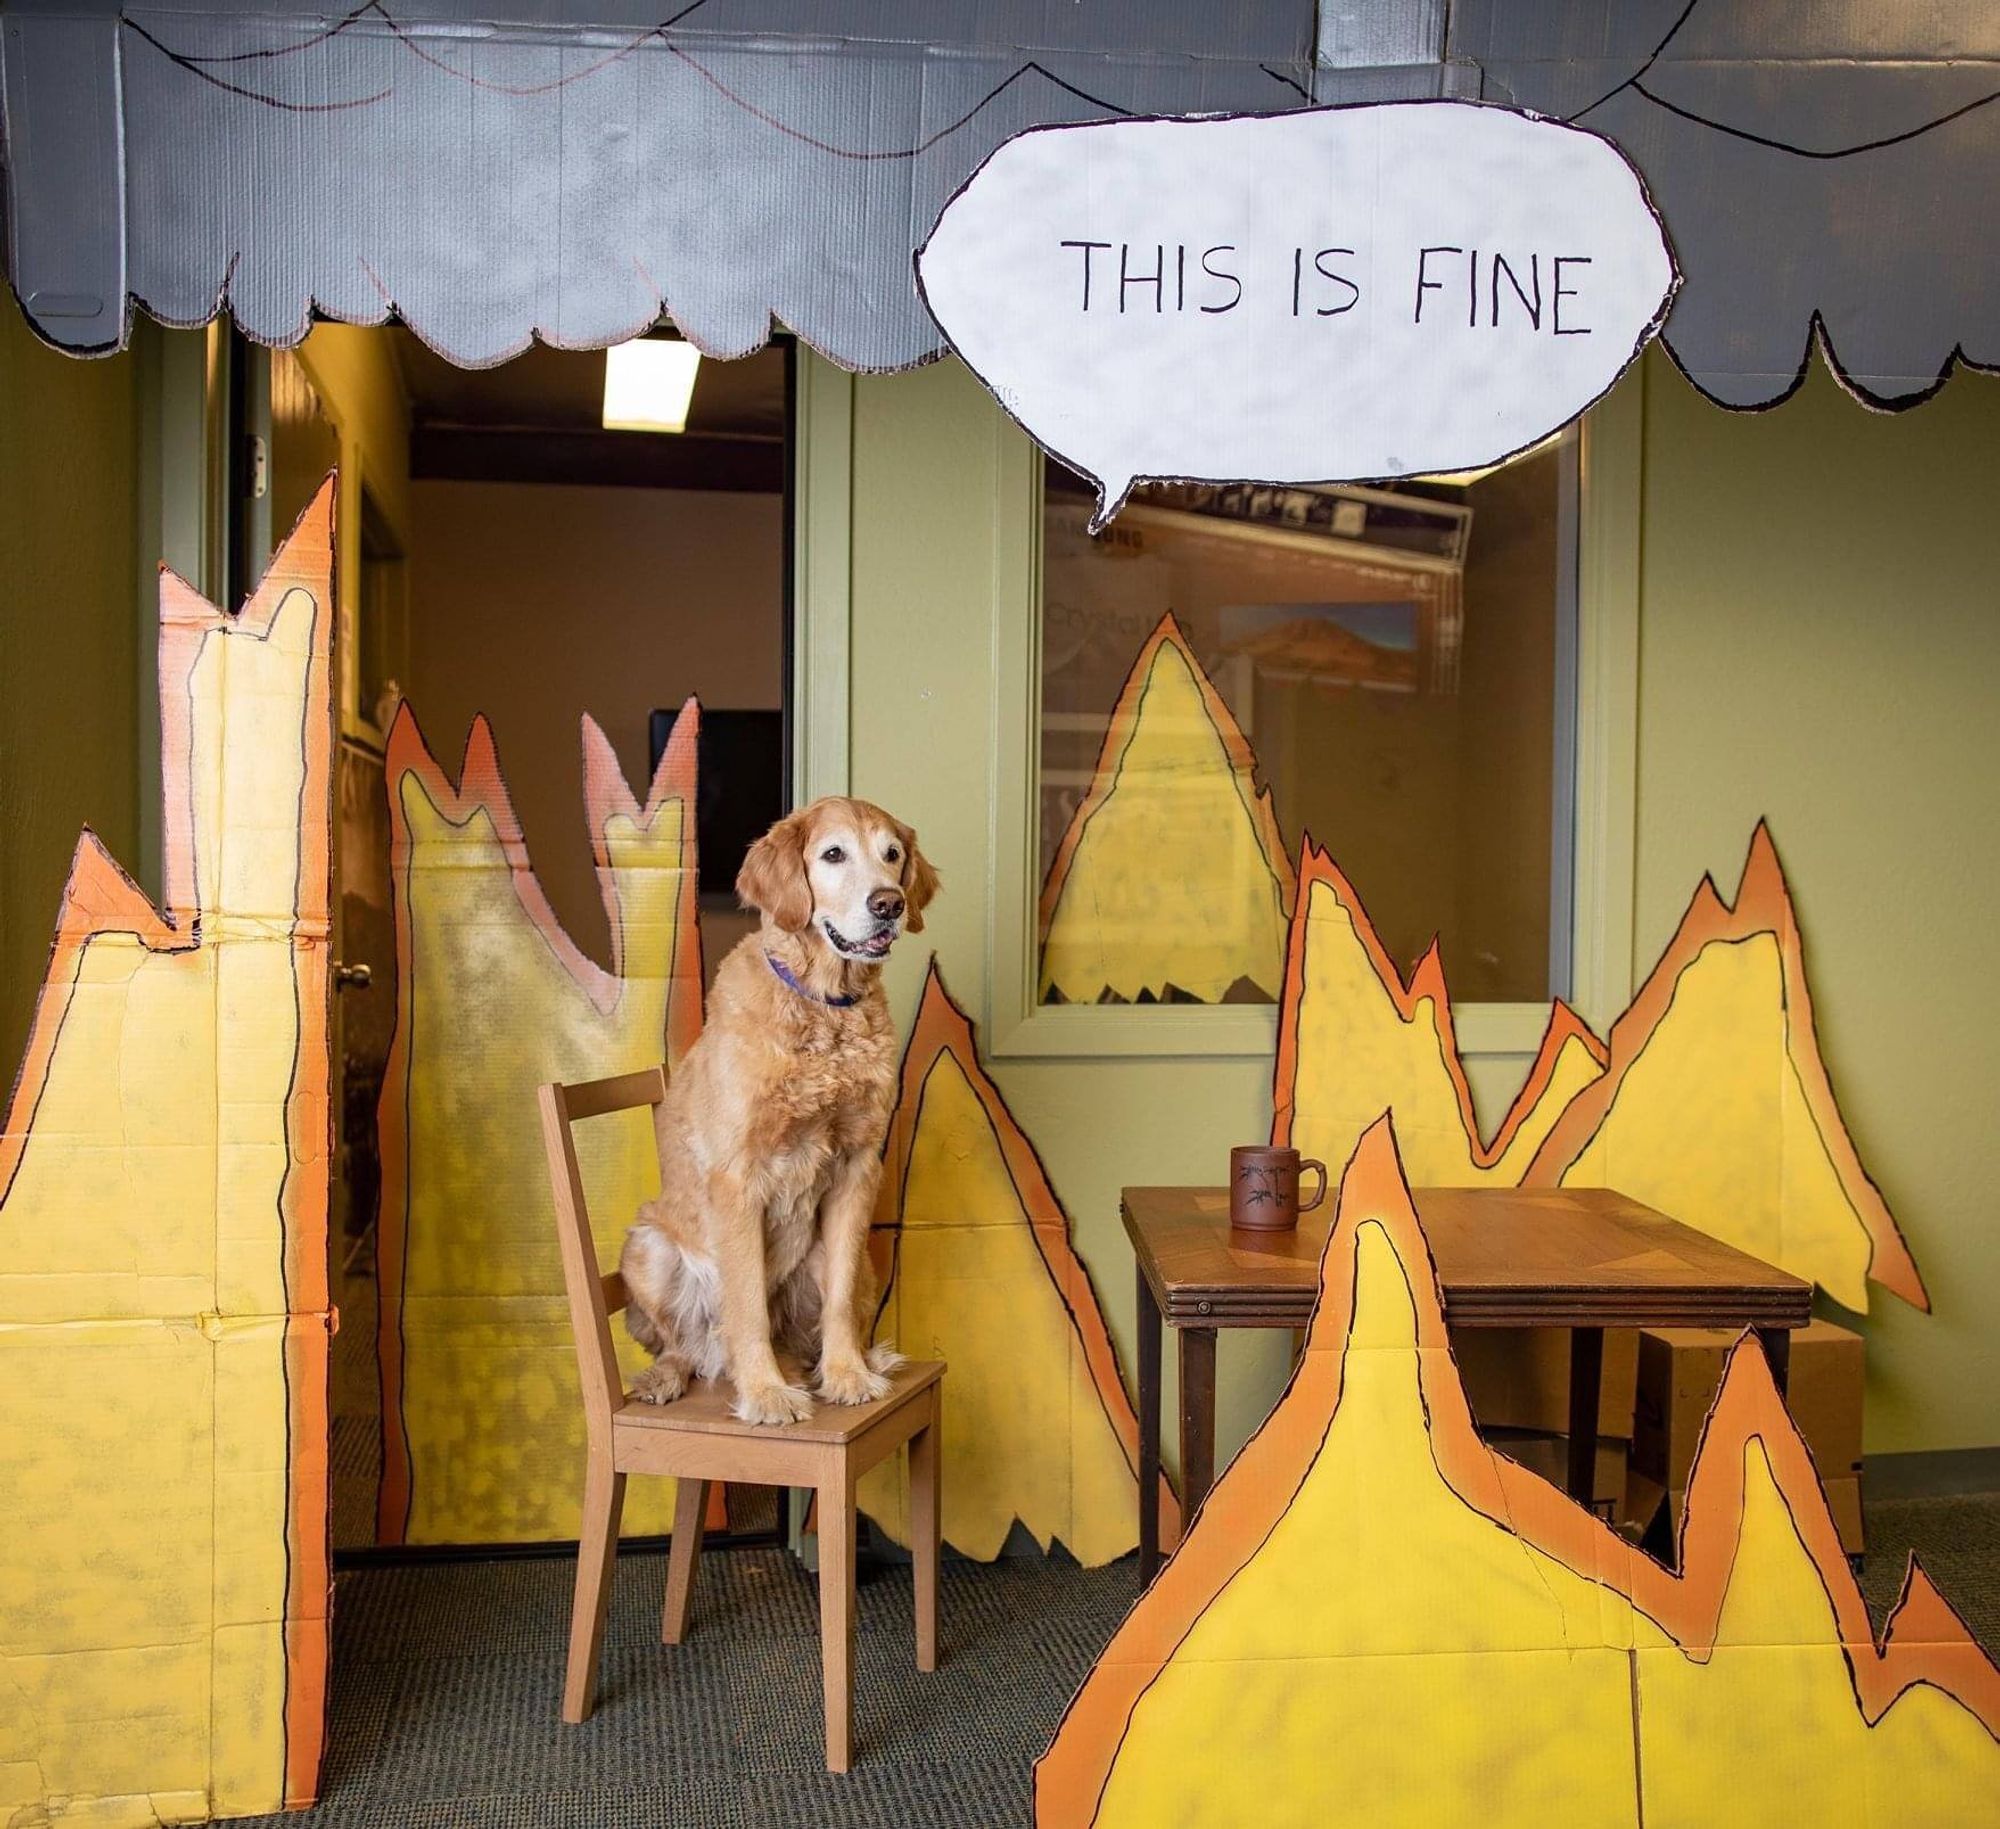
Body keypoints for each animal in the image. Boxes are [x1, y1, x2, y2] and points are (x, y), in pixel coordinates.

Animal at [620, 792, 940, 1416]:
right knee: (682, 1344)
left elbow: (838, 1300)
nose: (888, 904)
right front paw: (766, 1394)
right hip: (648, 1247)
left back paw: (844, 1363)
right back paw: (666, 1378)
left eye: (892, 854)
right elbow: (744, 1301)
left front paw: (846, 1376)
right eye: (833, 854)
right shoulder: (737, 1178)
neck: (823, 1007)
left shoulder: (857, 1167)